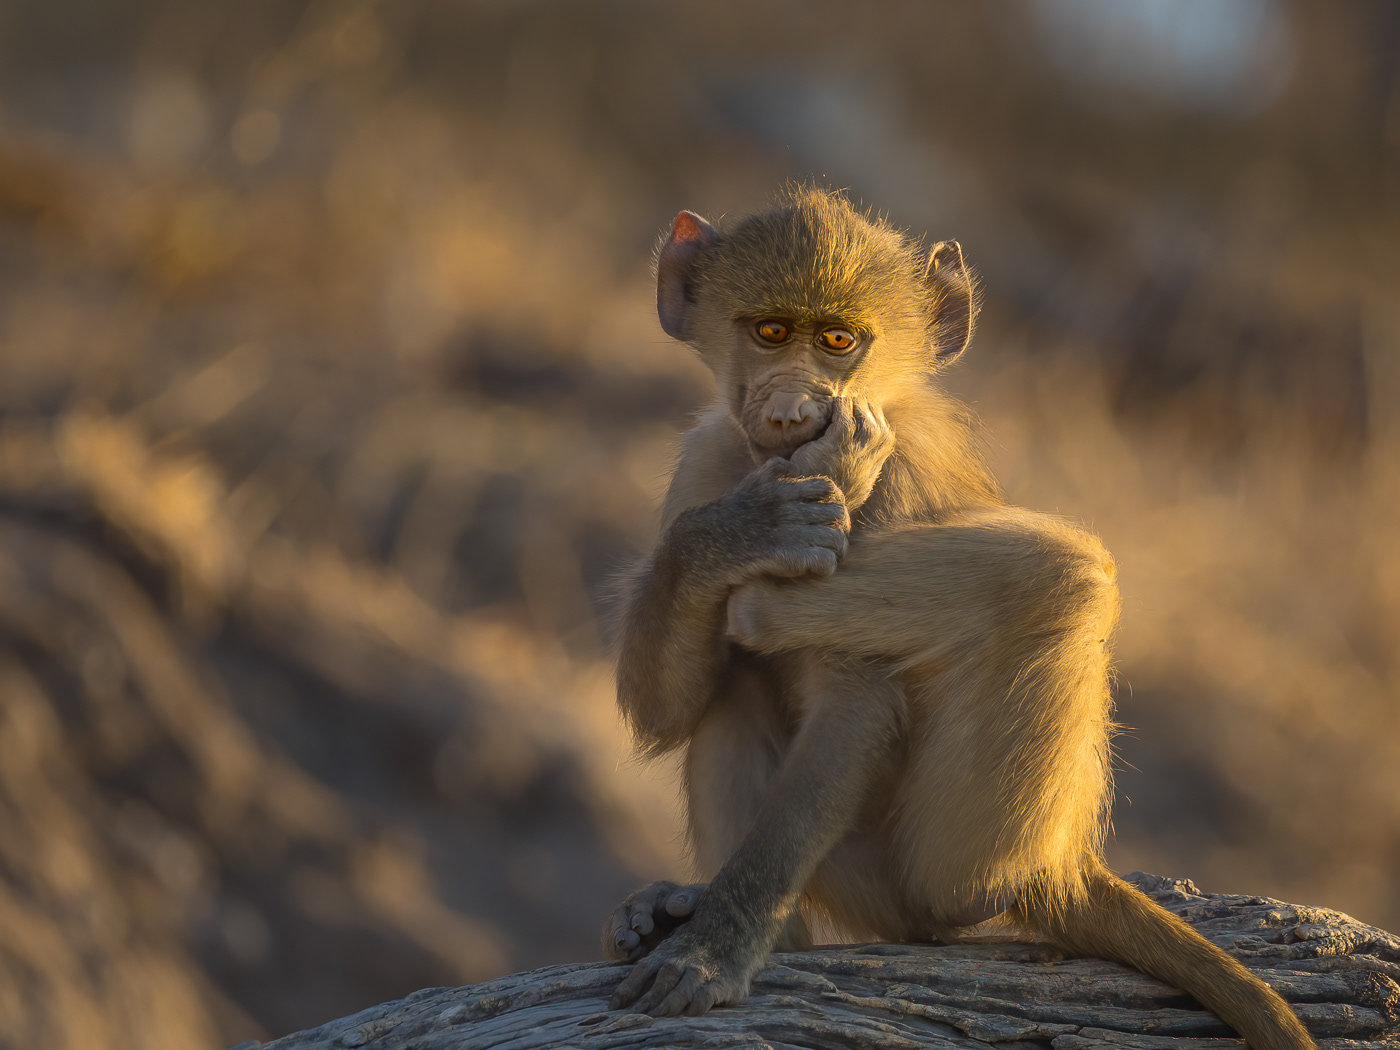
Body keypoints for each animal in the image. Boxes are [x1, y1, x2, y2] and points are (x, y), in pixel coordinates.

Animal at [600, 187, 1314, 1050]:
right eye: (770, 332)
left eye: (838, 341)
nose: (794, 410)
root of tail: (1065, 861)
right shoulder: (705, 460)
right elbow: (665, 713)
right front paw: (735, 536)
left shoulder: (897, 476)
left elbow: (858, 703)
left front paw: (711, 953)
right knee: (729, 694)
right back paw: (726, 921)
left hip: (927, 868)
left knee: (1061, 578)